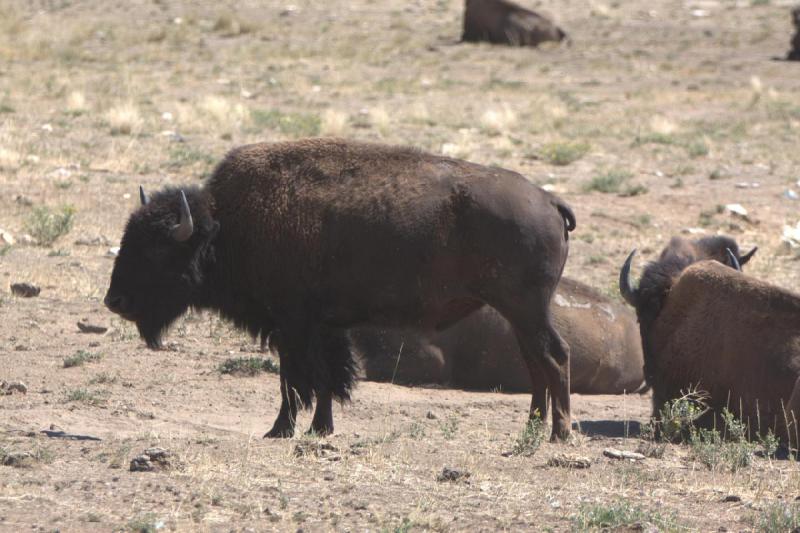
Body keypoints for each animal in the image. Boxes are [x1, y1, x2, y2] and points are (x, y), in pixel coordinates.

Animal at [108, 138, 580, 440]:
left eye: (157, 251)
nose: (115, 300)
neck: (229, 227)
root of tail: (549, 200)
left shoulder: (293, 326)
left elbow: (297, 379)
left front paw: (280, 430)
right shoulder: (323, 327)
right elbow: (328, 379)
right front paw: (320, 428)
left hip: (526, 308)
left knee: (554, 356)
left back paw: (558, 433)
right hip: (517, 312)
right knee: (536, 361)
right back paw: (533, 428)